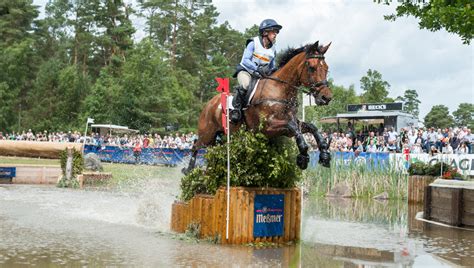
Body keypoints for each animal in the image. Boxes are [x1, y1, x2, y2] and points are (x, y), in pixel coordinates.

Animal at [182, 39, 334, 174]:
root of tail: (209, 104)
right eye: (312, 68)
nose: (326, 97)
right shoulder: (267, 127)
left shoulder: (288, 125)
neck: (279, 90)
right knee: (195, 145)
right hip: (207, 135)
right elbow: (293, 127)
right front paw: (303, 157)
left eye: (326, 68)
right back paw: (188, 170)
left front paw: (324, 154)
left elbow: (311, 127)